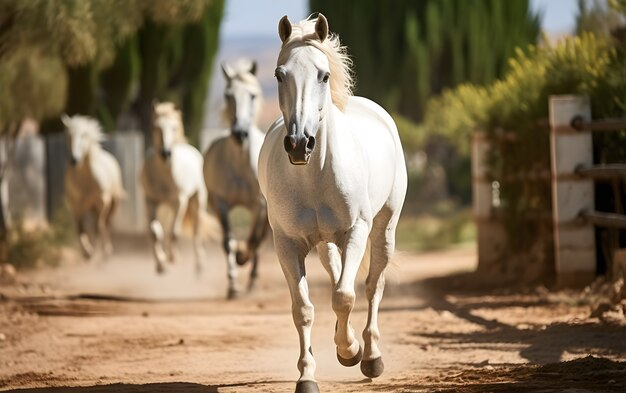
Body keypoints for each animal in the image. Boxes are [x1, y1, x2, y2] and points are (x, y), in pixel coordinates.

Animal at [64, 114, 126, 258]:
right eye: (69, 135)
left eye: (84, 135)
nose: (74, 160)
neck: (86, 181)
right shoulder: (76, 205)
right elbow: (80, 228)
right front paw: (87, 252)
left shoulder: (102, 202)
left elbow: (98, 227)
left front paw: (95, 250)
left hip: (113, 203)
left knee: (106, 224)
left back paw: (106, 250)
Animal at [139, 102, 207, 274]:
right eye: (155, 127)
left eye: (174, 127)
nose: (166, 153)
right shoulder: (150, 201)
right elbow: (155, 232)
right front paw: (160, 264)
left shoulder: (179, 201)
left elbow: (174, 232)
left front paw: (172, 257)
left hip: (197, 200)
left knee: (196, 229)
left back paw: (199, 265)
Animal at [202, 59, 266, 298]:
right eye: (228, 95)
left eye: (252, 95)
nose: (239, 133)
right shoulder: (221, 205)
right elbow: (228, 242)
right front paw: (233, 286)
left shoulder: (259, 205)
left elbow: (254, 240)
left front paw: (242, 257)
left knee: (260, 240)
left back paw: (254, 281)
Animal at [258, 13, 408, 390]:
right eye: (279, 74)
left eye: (323, 75)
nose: (299, 144)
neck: (314, 174)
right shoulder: (287, 244)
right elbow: (304, 309)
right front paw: (307, 376)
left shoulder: (356, 232)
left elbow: (344, 296)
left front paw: (352, 351)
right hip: (325, 242)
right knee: (338, 273)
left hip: (384, 229)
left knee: (371, 286)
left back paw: (370, 356)